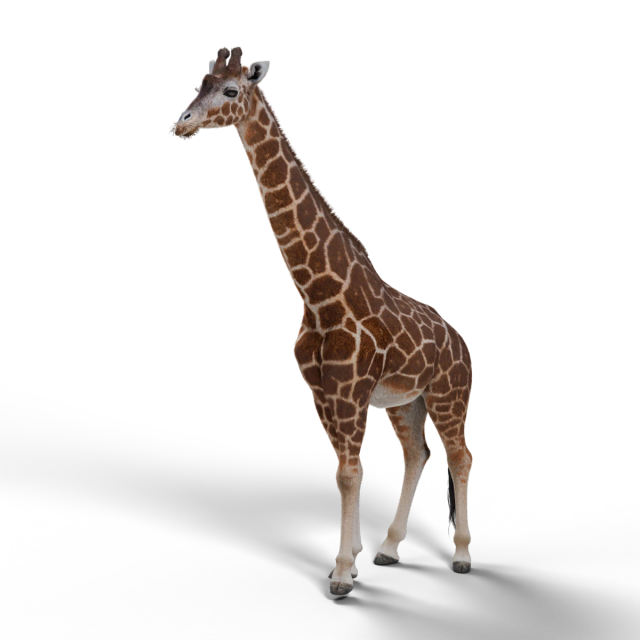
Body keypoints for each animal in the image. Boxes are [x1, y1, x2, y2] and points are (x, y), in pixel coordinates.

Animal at [169, 45, 474, 595]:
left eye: (230, 90)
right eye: (198, 83)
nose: (178, 125)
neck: (318, 295)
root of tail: (462, 342)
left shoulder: (350, 391)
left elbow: (350, 472)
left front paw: (342, 570)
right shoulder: (322, 392)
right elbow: (342, 471)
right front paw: (355, 554)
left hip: (448, 393)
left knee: (460, 456)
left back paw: (461, 553)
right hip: (406, 401)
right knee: (418, 455)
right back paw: (389, 547)